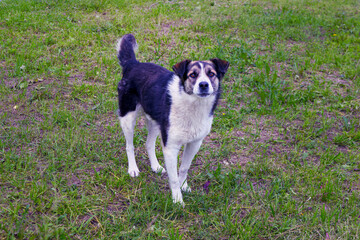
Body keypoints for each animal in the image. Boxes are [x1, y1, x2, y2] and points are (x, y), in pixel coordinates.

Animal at [116, 34, 229, 205]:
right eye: (193, 75)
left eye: (211, 74)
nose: (203, 85)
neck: (193, 105)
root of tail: (133, 64)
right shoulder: (171, 147)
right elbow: (174, 177)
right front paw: (177, 200)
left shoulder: (195, 143)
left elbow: (183, 168)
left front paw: (184, 186)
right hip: (127, 117)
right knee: (129, 145)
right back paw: (133, 169)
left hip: (156, 122)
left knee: (149, 143)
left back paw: (155, 166)